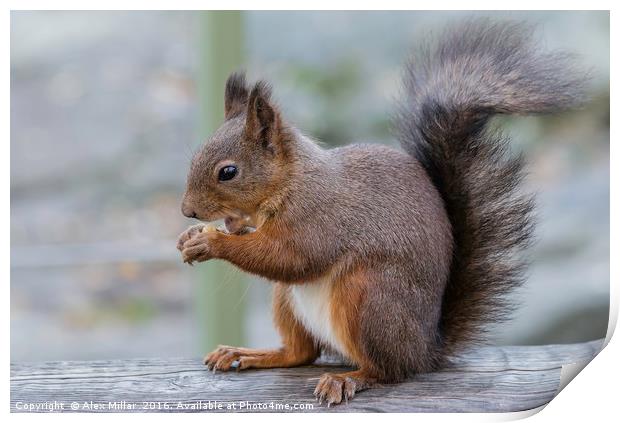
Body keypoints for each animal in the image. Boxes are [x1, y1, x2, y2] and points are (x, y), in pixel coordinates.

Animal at [176, 20, 588, 408]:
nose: (187, 211)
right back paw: (248, 354)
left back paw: (349, 379)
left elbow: (291, 257)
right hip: (289, 301)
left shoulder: (320, 217)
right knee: (301, 352)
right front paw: (199, 235)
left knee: (389, 370)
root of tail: (425, 349)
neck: (290, 181)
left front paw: (211, 242)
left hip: (369, 298)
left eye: (228, 172)